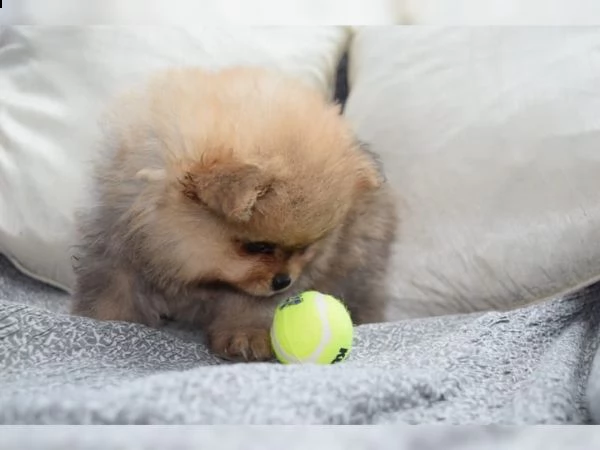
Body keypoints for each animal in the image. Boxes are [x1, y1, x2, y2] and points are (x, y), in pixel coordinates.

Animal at [71, 67, 398, 362]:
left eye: (305, 248)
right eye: (258, 246)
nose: (283, 281)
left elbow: (250, 305)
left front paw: (246, 335)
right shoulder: (117, 246)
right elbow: (112, 291)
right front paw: (104, 323)